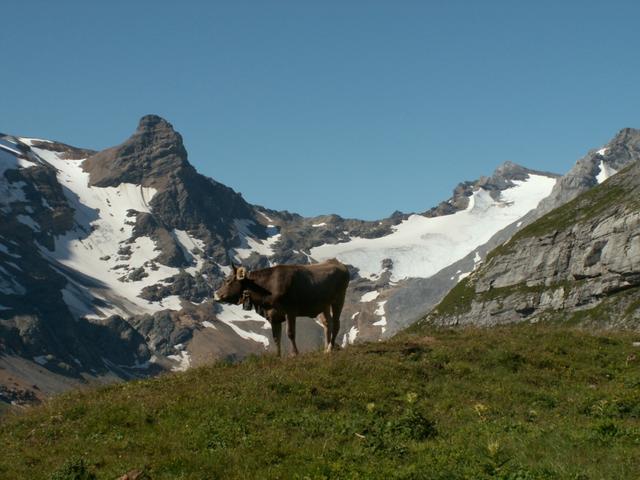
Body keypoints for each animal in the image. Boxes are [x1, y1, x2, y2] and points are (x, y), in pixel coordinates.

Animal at [214, 258, 350, 356]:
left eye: (228, 280)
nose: (215, 294)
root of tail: (337, 262)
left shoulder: (290, 311)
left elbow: (290, 333)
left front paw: (294, 354)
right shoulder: (273, 315)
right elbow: (276, 338)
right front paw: (278, 357)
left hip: (339, 298)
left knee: (336, 324)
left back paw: (330, 348)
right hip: (324, 304)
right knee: (328, 323)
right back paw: (325, 348)